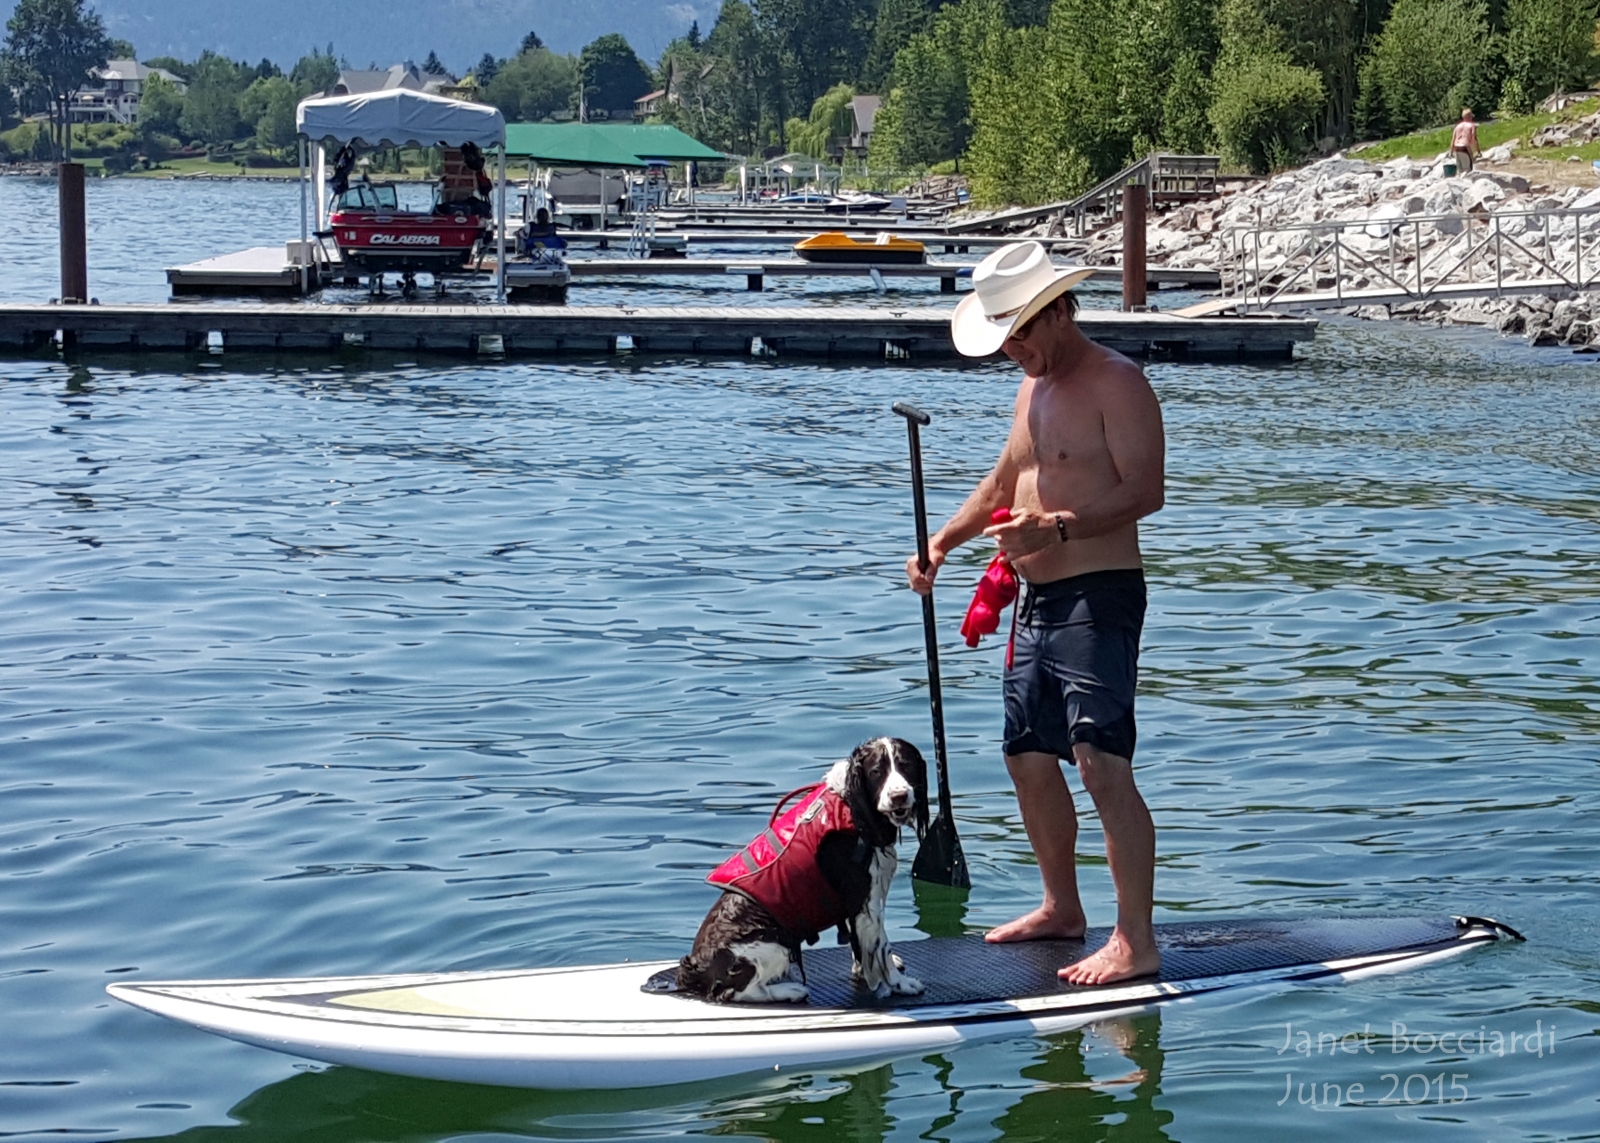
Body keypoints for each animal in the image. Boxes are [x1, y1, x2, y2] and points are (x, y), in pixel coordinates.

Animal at [678, 739, 934, 998]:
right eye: (876, 772)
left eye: (906, 765)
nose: (899, 796)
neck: (851, 804)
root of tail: (697, 968)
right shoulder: (865, 897)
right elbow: (881, 946)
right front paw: (900, 983)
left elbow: (863, 945)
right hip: (773, 940)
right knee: (740, 992)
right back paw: (789, 990)